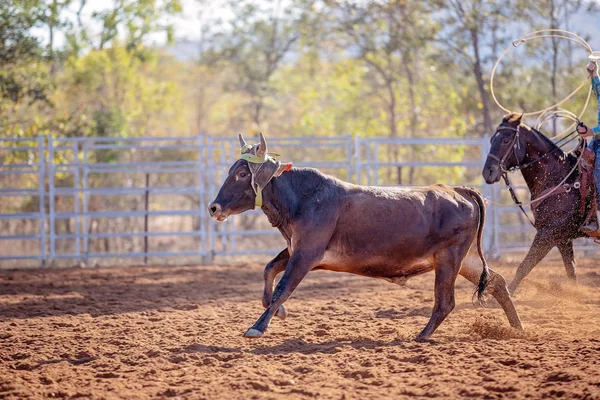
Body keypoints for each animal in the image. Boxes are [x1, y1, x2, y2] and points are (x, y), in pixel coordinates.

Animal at [209, 134, 524, 340]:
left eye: (241, 173)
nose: (214, 207)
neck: (303, 197)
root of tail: (459, 190)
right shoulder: (296, 249)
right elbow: (269, 270)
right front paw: (279, 312)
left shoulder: (306, 253)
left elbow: (282, 287)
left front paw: (257, 327)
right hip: (466, 259)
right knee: (497, 282)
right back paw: (518, 328)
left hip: (449, 258)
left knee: (445, 301)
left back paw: (421, 335)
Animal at [482, 112, 592, 294]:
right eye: (491, 140)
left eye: (506, 140)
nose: (487, 172)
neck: (561, 177)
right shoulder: (562, 238)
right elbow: (571, 272)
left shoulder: (548, 233)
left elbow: (524, 266)